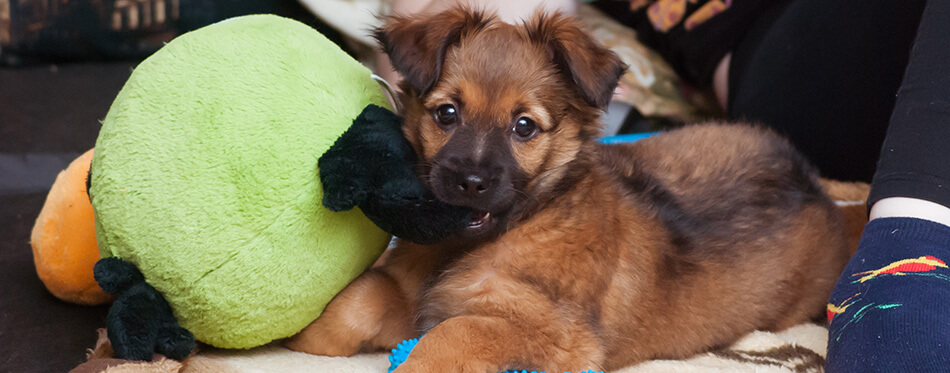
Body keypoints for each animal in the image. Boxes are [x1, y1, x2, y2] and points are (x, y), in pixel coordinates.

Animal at [284, 7, 856, 370]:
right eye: (446, 114)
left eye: (524, 127)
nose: (470, 182)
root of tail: (810, 182)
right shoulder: (410, 292)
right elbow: (354, 303)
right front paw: (294, 338)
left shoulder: (551, 333)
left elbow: (450, 335)